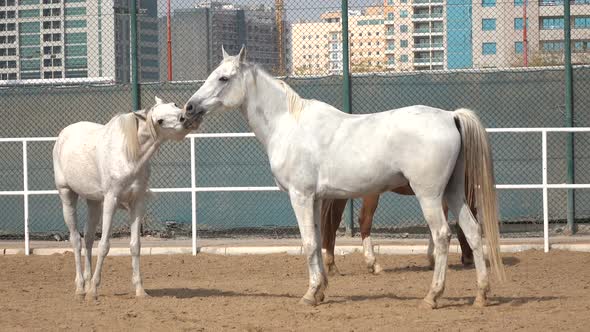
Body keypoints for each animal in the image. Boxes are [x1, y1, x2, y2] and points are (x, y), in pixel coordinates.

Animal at [53, 96, 197, 300]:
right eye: (159, 120)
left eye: (174, 105)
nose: (186, 118)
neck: (128, 156)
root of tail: (63, 135)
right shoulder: (111, 201)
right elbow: (104, 245)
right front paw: (94, 291)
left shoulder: (137, 203)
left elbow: (135, 246)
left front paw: (140, 290)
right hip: (67, 195)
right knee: (75, 240)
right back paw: (81, 288)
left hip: (94, 202)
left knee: (88, 238)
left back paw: (87, 283)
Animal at [322, 185, 478, 276]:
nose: (469, 259)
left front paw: (432, 259)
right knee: (364, 221)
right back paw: (374, 264)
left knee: (333, 222)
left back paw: (332, 266)